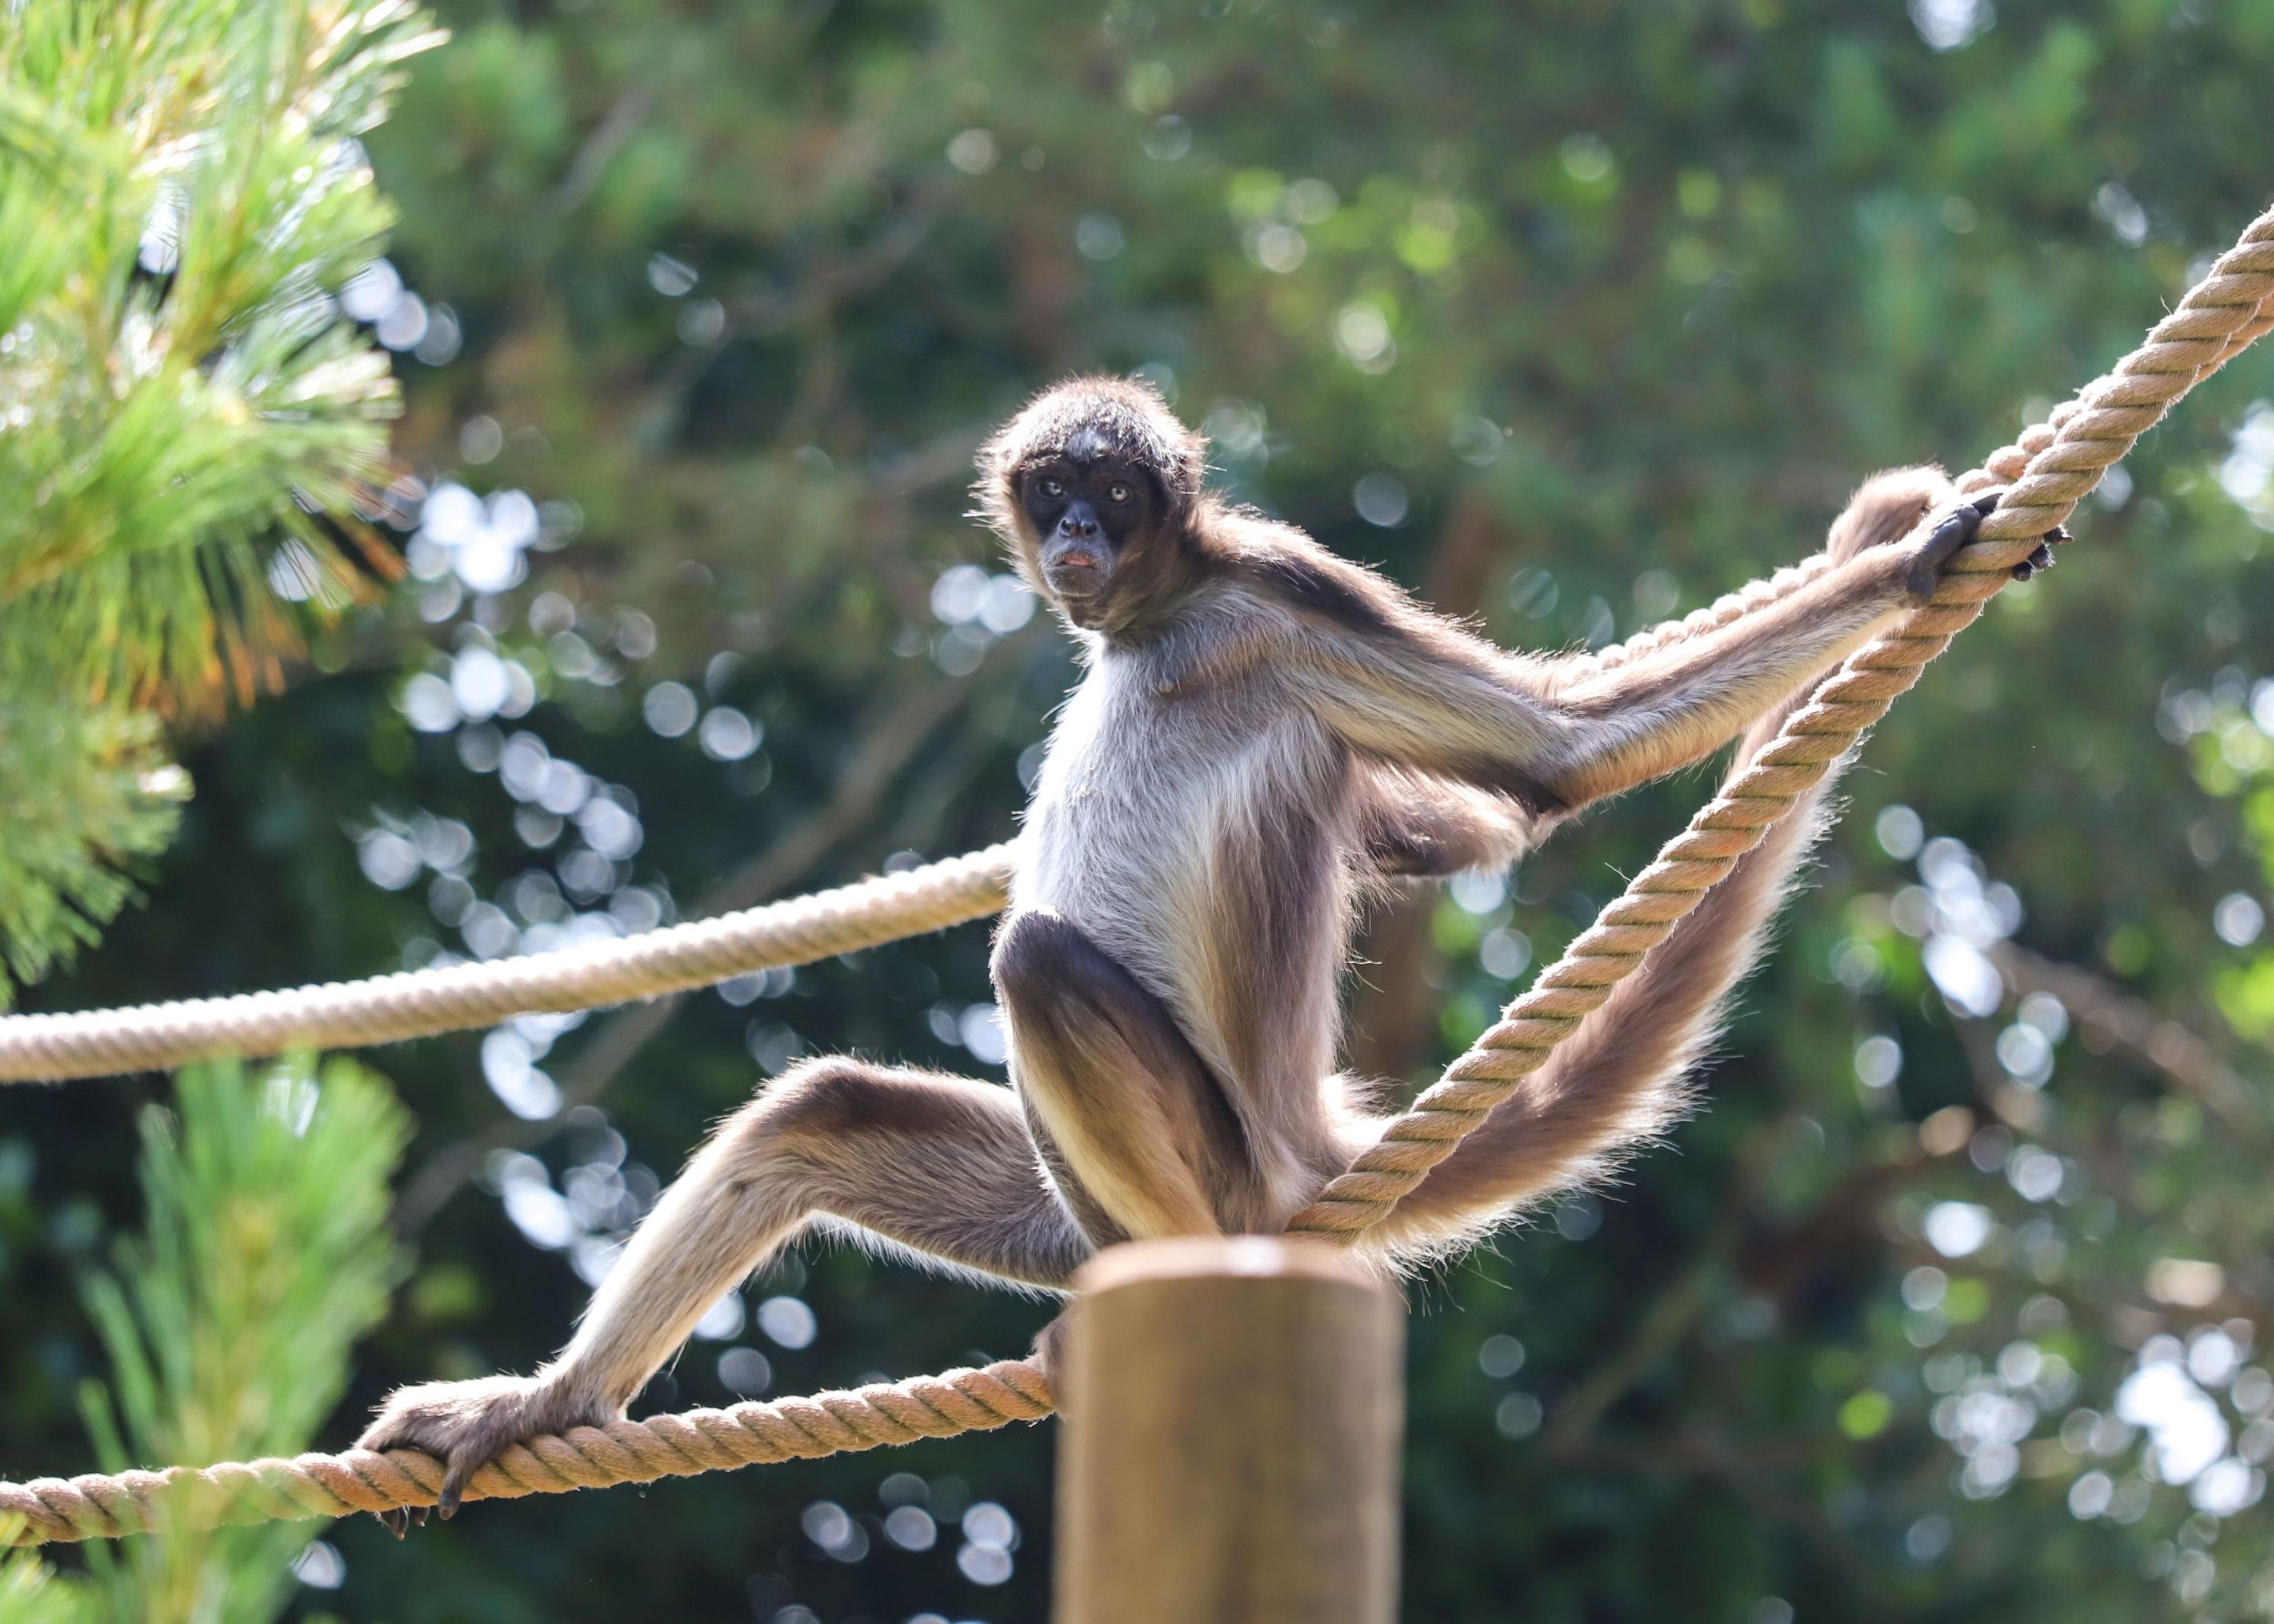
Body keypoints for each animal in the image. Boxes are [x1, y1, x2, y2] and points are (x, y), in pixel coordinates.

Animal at [358, 377, 2056, 1527]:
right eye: (1054, 492)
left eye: (1113, 494)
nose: (1078, 534)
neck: (1161, 619)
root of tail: (1311, 1144)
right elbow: (1491, 813)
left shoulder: (1286, 587)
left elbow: (1562, 760)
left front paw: (1914, 568)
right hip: (1057, 1208)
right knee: (821, 1112)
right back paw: (551, 1400)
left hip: (1222, 1156)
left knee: (1040, 965)